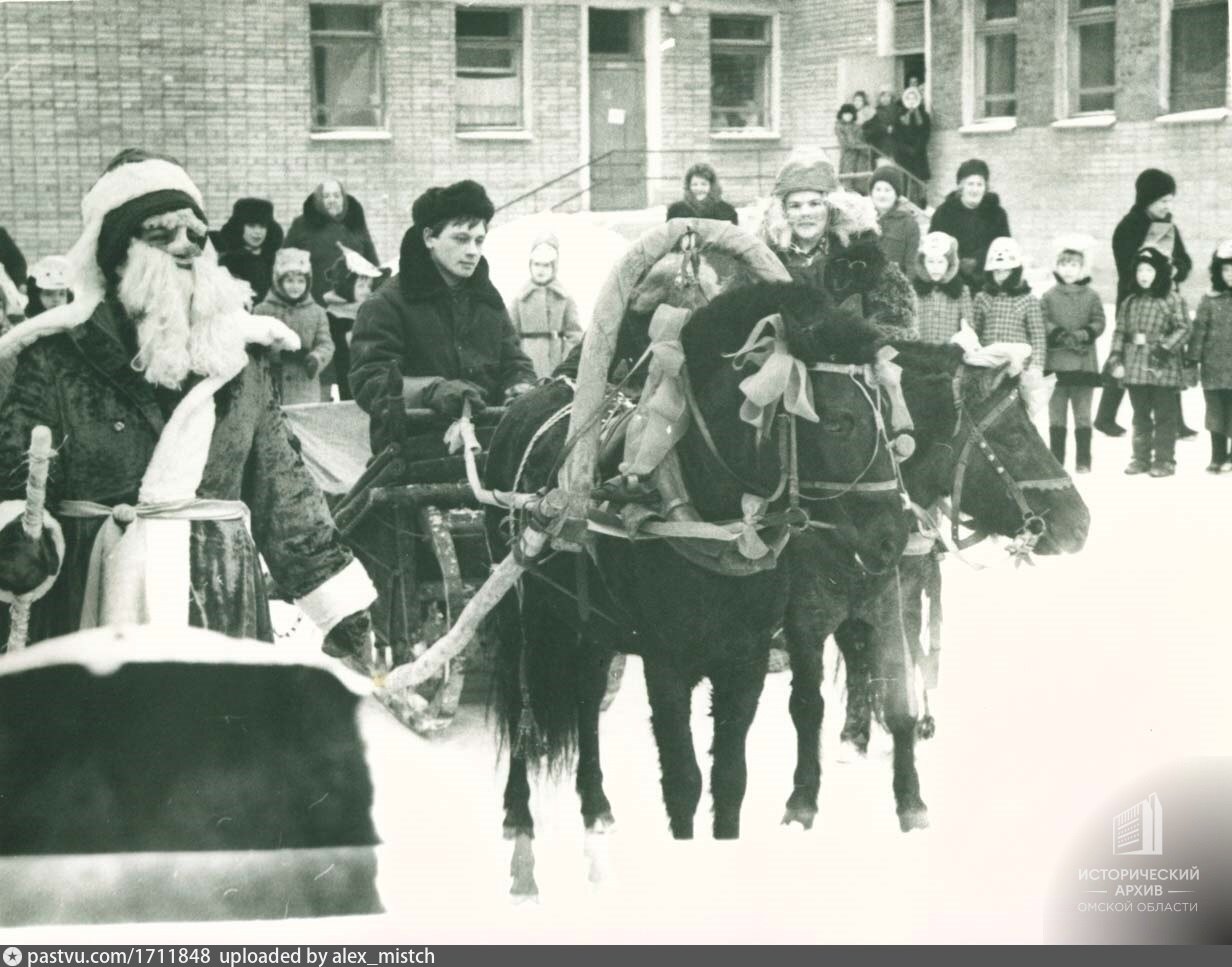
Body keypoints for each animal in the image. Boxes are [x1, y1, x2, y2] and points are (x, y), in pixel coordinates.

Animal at [485, 280, 911, 896]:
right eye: (839, 422)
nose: (894, 536)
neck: (711, 520)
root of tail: (526, 400)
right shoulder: (667, 663)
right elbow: (684, 779)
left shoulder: (746, 658)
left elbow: (730, 776)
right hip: (522, 613)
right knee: (519, 710)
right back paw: (519, 821)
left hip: (593, 627)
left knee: (586, 701)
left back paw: (596, 807)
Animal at [783, 339, 1094, 827]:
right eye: (1015, 436)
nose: (1081, 524)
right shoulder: (805, 616)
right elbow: (806, 705)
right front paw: (801, 802)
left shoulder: (896, 600)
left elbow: (901, 696)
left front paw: (911, 801)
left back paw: (856, 736)